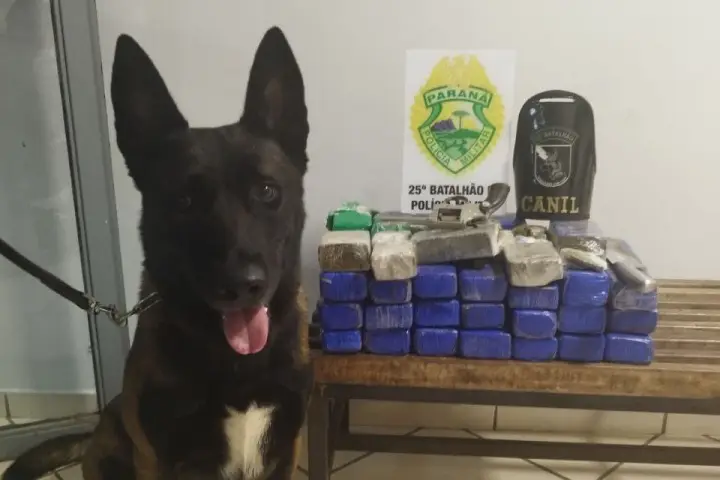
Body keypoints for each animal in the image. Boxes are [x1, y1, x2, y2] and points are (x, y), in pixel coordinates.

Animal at [3, 25, 313, 480]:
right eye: (184, 202)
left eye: (267, 191)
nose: (242, 286)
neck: (235, 363)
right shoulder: (159, 461)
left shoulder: (287, 451)